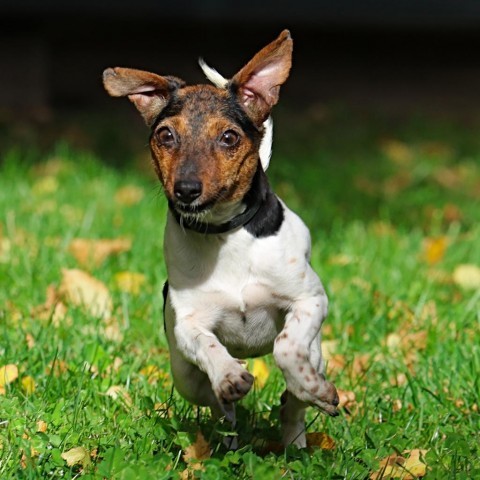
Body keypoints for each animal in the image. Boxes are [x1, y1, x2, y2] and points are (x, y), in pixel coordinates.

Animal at [103, 30, 340, 448]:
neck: (225, 237)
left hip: (317, 352)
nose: (186, 190)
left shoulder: (310, 300)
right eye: (166, 135)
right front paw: (229, 375)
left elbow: (286, 348)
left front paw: (314, 389)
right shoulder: (187, 324)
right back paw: (228, 424)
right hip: (184, 375)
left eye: (229, 137)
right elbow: (207, 345)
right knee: (213, 401)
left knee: (294, 399)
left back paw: (297, 433)